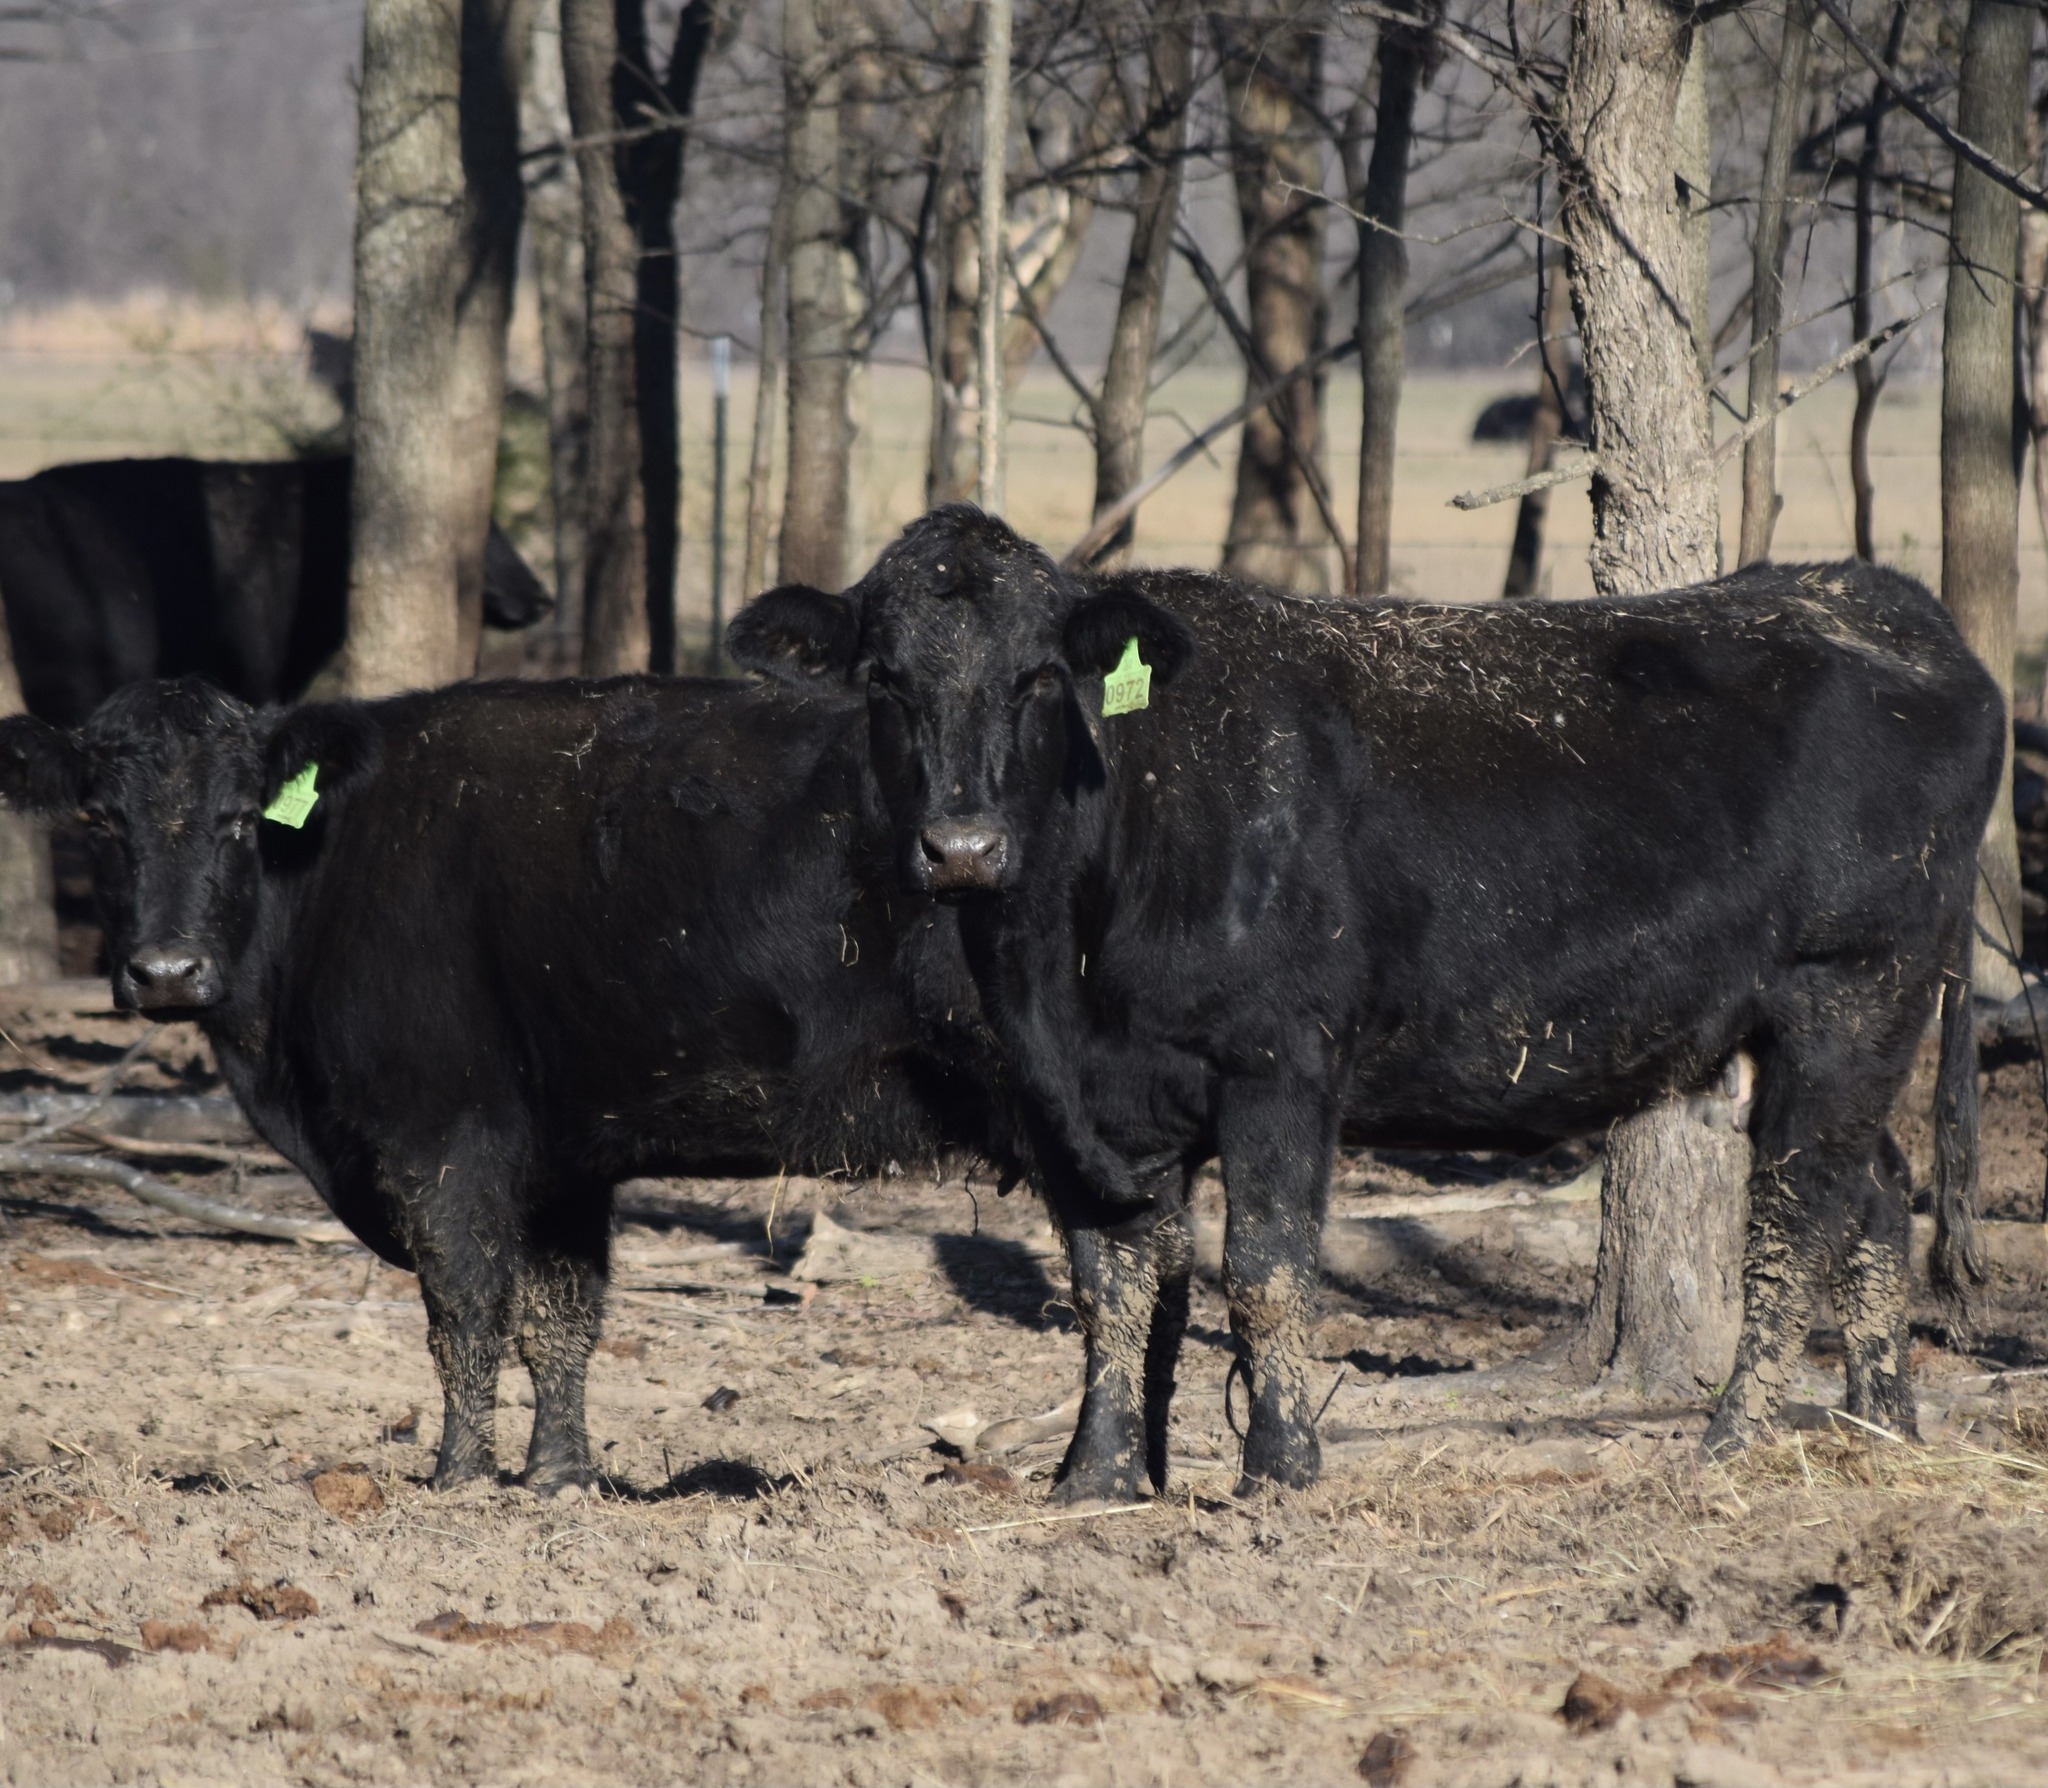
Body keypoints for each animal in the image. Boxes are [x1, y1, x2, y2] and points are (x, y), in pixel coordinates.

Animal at [0, 675, 1008, 1494]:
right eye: (99, 822)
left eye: (242, 818)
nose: (167, 971)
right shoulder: (566, 1161)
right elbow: (561, 1319)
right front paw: (557, 1478)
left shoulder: (441, 1129)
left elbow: (466, 1307)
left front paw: (460, 1480)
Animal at [727, 506, 2002, 1501]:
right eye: (883, 681)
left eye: (1039, 677)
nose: (963, 847)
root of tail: (1873, 598)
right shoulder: (1081, 1103)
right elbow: (1112, 1281)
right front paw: (1094, 1479)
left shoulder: (1279, 1061)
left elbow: (1263, 1267)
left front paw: (1278, 1472)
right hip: (1827, 1024)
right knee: (1873, 1191)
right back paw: (1878, 1428)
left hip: (1849, 991)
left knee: (1796, 1212)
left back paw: (1732, 1443)